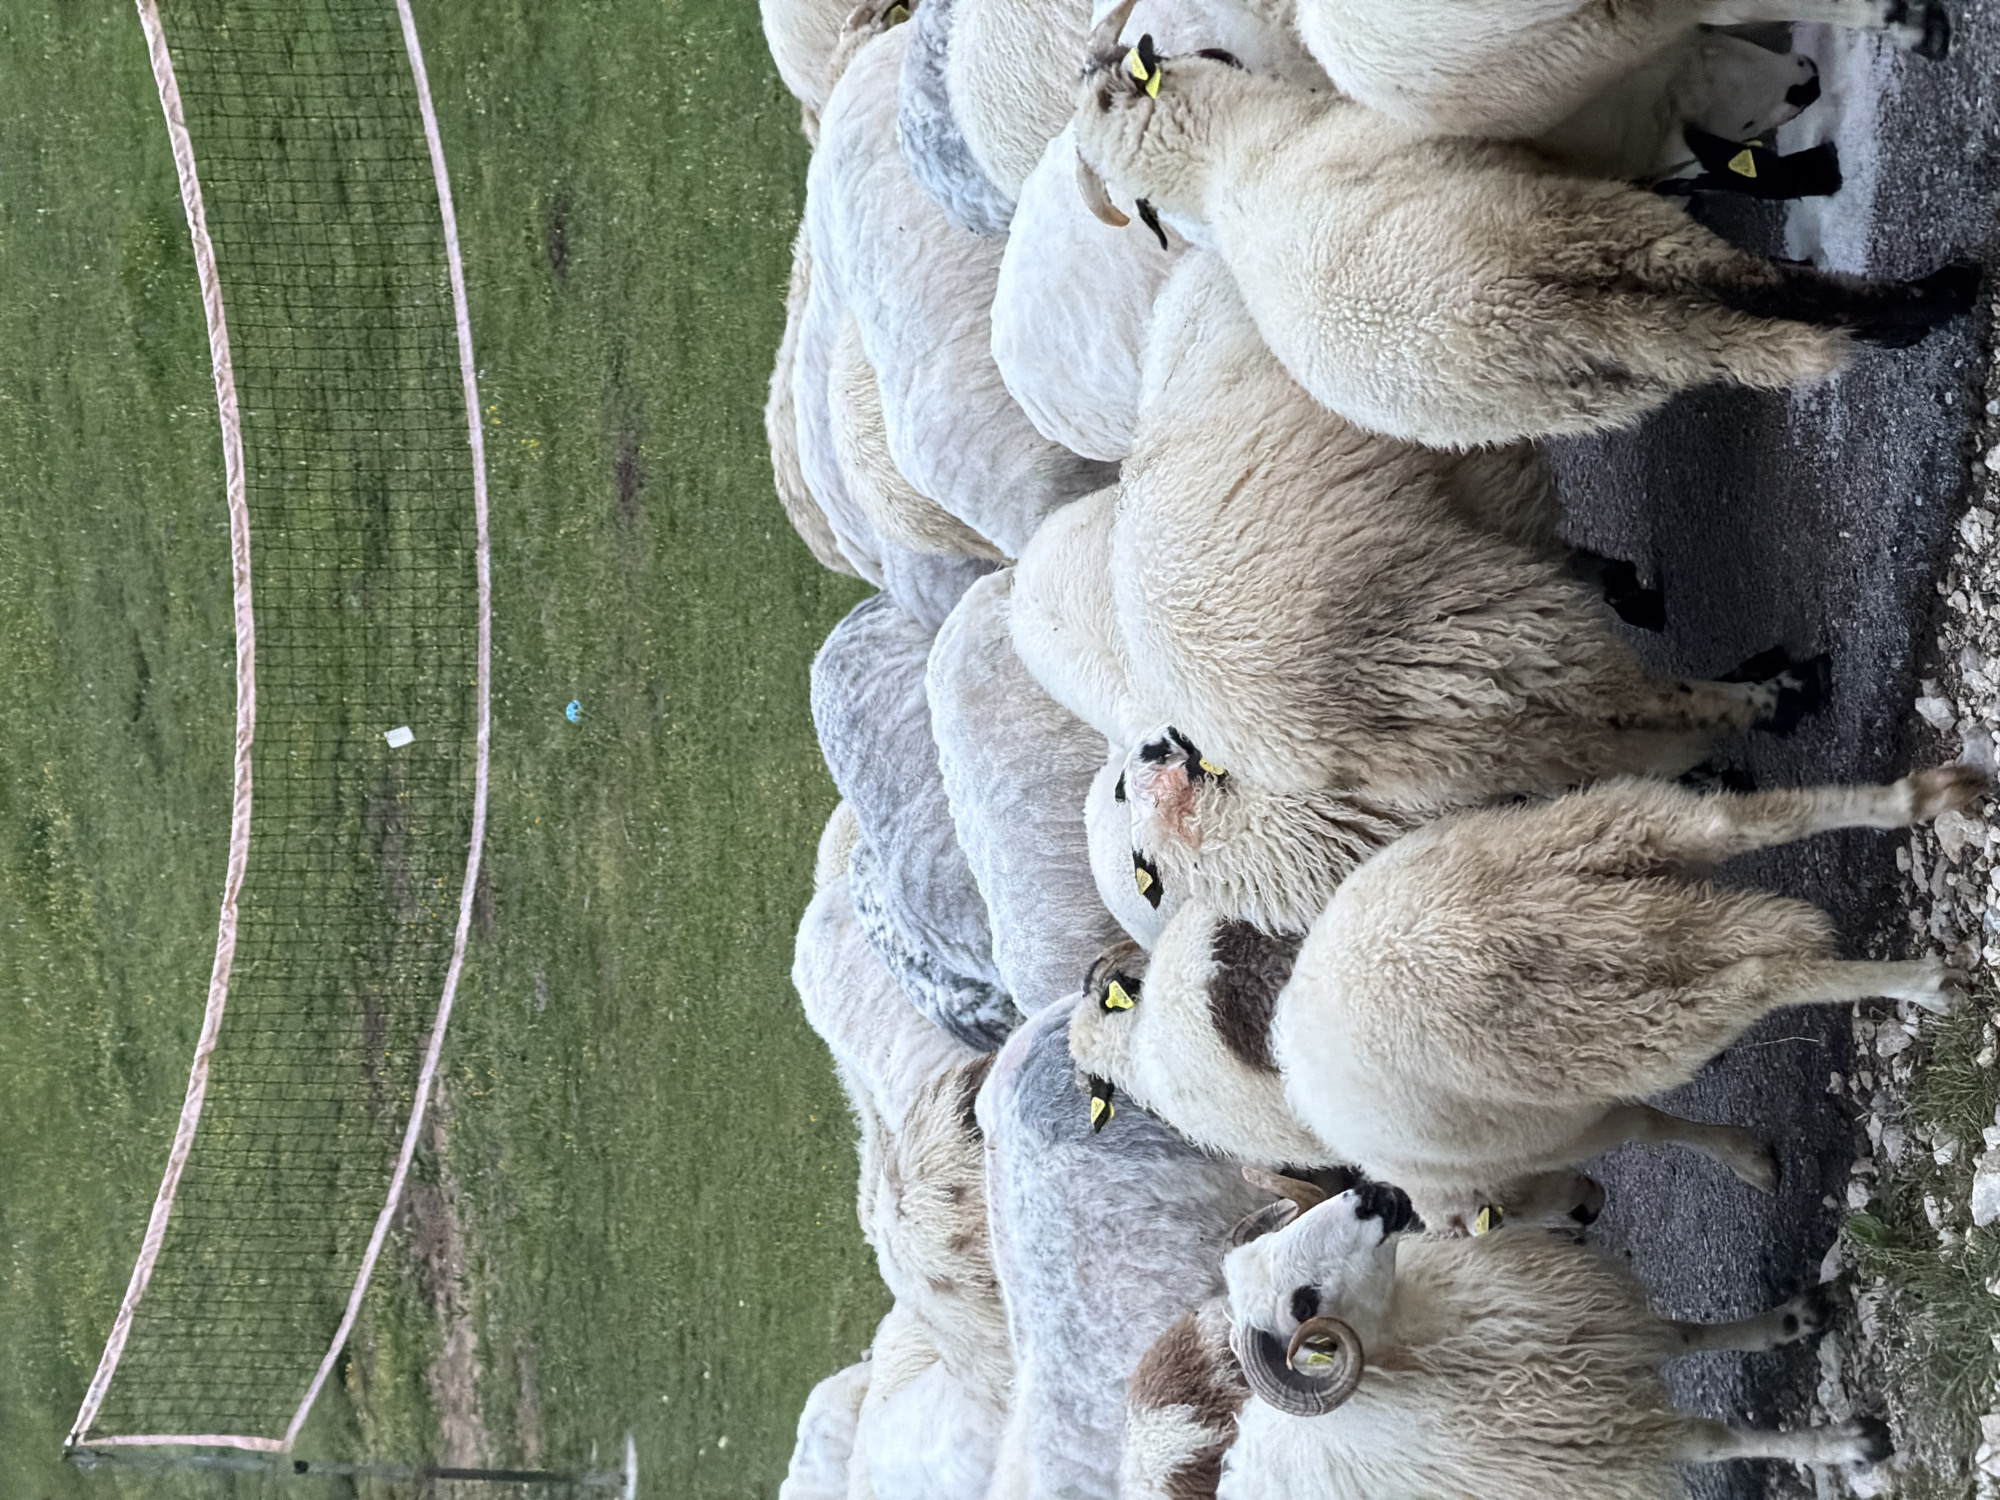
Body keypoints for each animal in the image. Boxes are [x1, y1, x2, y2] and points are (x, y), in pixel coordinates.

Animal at [1069, 766, 1982, 1229]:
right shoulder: (1566, 1118)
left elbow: (1650, 1127)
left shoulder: (1570, 1125)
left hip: (1583, 1023)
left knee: (1756, 977)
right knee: (1740, 829)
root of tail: (1459, 935)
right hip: (1604, 844)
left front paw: (1741, 1159)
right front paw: (1744, 1156)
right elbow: (1654, 1124)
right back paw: (1928, 798)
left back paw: (1927, 984)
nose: (1587, 1211)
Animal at [1070, 11, 1977, 448]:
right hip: (1587, 234)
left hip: (1598, 376)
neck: (1236, 159)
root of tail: (1502, 321)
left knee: (1734, 344)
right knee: (1762, 295)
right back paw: (1928, 301)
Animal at [1216, 1183, 1890, 1499]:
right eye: (1303, 1305)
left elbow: (1688, 1333)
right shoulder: (1591, 1440)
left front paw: (1791, 1321)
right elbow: (1719, 1442)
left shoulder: (1593, 1332)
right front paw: (1841, 1446)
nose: (1372, 1195)